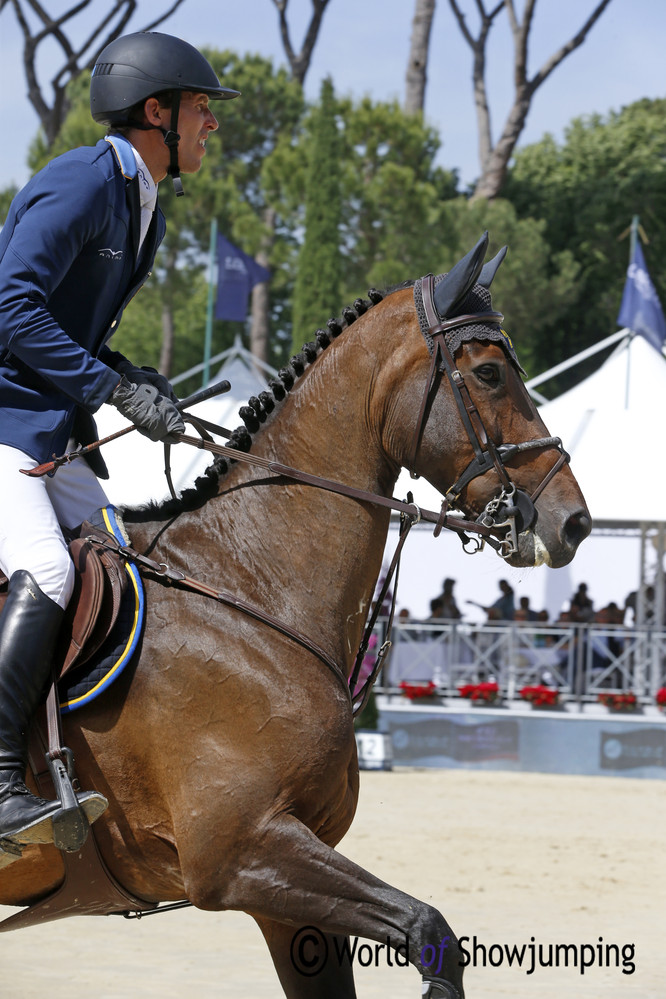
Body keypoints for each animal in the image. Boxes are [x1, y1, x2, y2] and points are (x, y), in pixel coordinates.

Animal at [2, 236, 588, 999]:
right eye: (489, 373)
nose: (573, 521)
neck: (248, 582)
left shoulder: (285, 889)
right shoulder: (242, 854)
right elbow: (430, 930)